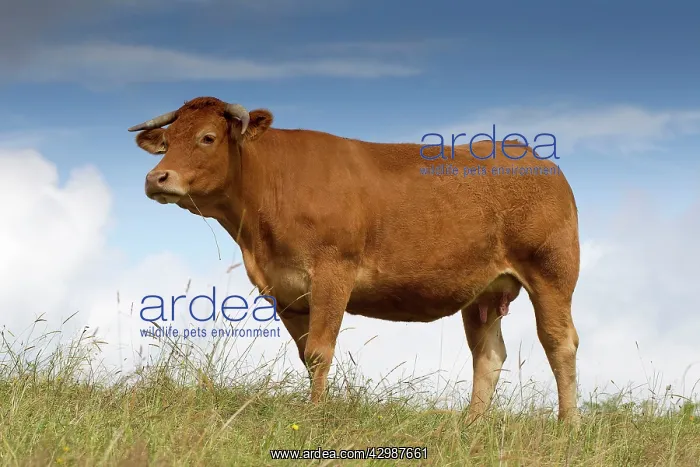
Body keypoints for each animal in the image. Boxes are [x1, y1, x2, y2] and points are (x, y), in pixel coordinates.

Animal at [128, 96, 581, 423]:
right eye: (167, 141)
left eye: (207, 137)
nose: (155, 178)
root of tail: (537, 160)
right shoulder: (285, 290)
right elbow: (306, 355)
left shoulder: (333, 272)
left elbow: (319, 351)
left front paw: (314, 418)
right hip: (483, 292)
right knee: (488, 355)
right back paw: (471, 427)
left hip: (551, 272)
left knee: (559, 343)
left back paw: (567, 425)